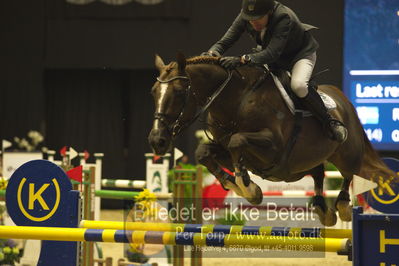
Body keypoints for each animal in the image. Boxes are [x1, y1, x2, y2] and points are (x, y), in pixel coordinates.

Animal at [148, 53, 396, 225]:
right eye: (153, 92)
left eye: (179, 92)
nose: (157, 141)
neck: (236, 102)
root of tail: (344, 100)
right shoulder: (224, 148)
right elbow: (204, 152)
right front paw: (233, 182)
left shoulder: (273, 146)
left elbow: (237, 141)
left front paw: (248, 187)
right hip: (307, 161)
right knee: (318, 173)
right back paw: (322, 209)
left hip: (346, 152)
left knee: (347, 173)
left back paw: (343, 206)